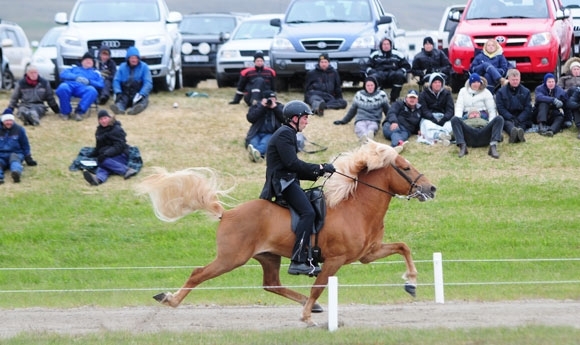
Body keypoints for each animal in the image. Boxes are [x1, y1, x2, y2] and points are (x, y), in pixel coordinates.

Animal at [137, 140, 436, 326]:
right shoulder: (335, 260)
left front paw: (411, 283)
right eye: (406, 168)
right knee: (198, 273)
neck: (356, 207)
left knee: (272, 284)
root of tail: (227, 213)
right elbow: (319, 286)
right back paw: (170, 299)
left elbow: (403, 247)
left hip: (268, 256)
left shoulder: (367, 254)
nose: (431, 189)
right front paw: (306, 318)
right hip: (231, 258)